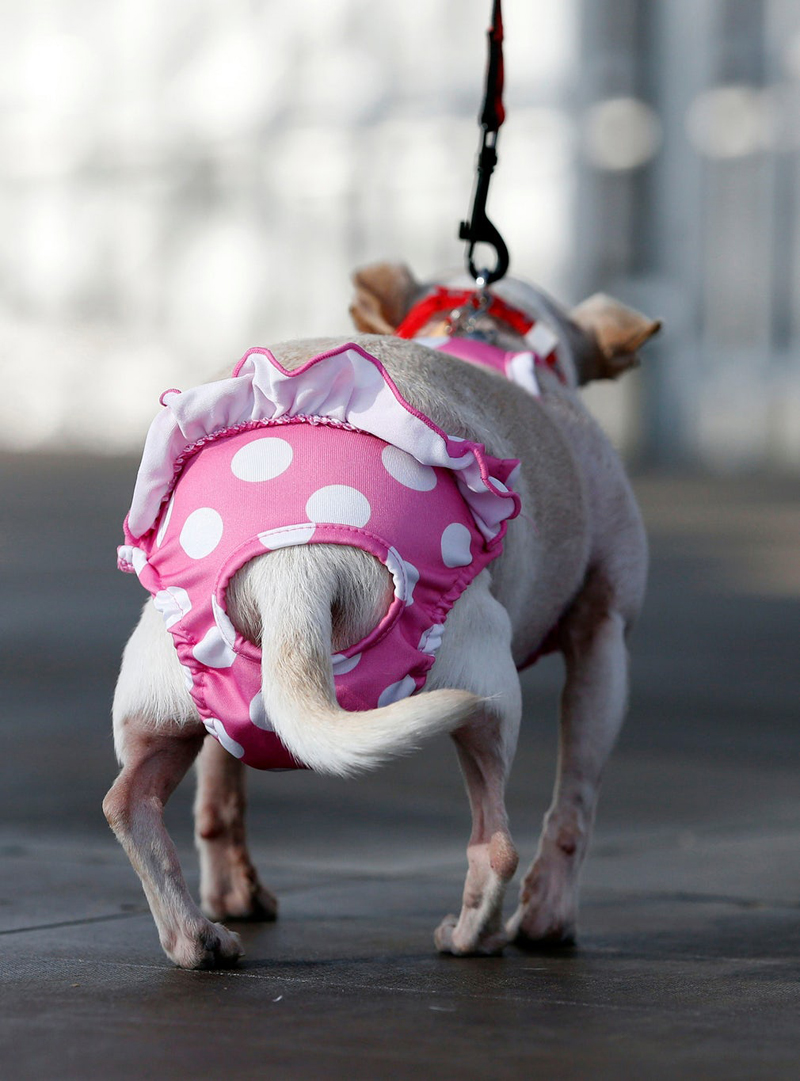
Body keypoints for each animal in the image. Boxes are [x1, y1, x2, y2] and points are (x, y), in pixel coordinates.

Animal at [103, 263, 657, 972]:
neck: (488, 326)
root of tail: (298, 566)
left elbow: (219, 792)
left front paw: (234, 892)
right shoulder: (604, 637)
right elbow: (575, 803)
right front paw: (550, 920)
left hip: (167, 695)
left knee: (132, 803)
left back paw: (197, 937)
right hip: (483, 691)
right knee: (497, 842)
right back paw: (473, 937)